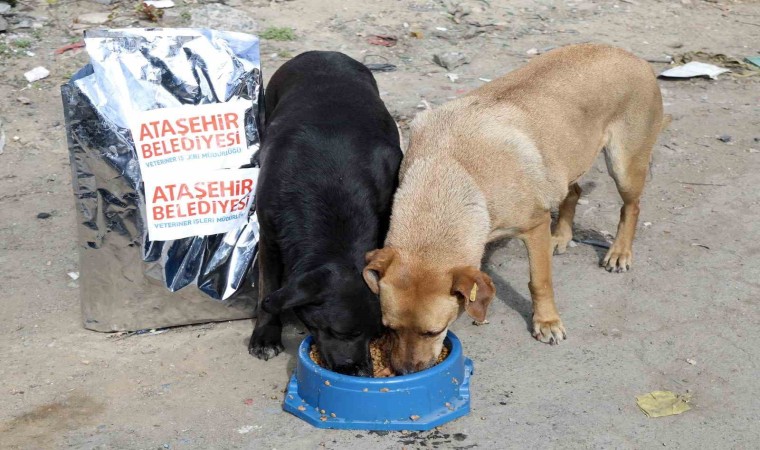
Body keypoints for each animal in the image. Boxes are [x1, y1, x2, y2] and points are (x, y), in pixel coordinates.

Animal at [249, 51, 404, 376]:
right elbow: (268, 286)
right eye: (339, 332)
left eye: (375, 334)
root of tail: (323, 53)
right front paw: (266, 334)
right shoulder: (268, 235)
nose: (361, 373)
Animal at [366, 44, 668, 374]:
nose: (404, 372)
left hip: (624, 166)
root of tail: (630, 55)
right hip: (564, 165)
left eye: (433, 332)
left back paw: (619, 253)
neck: (447, 171)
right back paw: (561, 237)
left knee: (631, 207)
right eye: (389, 328)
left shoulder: (534, 226)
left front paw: (546, 322)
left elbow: (539, 282)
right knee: (573, 192)